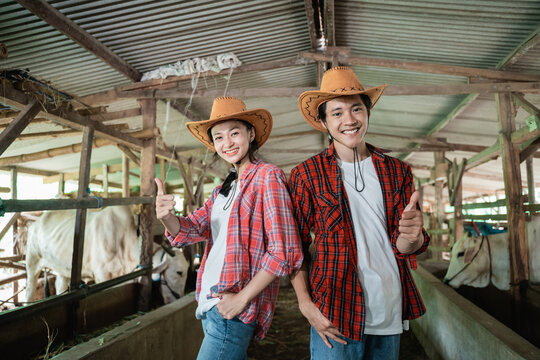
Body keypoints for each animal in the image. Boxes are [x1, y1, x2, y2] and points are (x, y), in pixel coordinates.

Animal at [23, 205, 188, 304]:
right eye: (179, 272)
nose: (180, 298)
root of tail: (36, 222)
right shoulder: (102, 275)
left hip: (63, 269)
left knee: (60, 285)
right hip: (32, 261)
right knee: (29, 289)